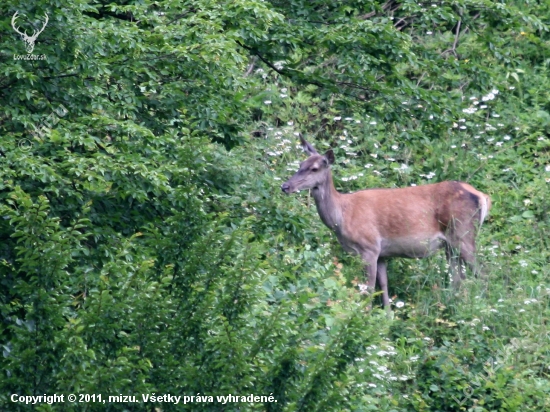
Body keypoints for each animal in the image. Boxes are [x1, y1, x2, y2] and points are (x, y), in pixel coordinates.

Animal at [282, 137, 494, 308]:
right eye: (300, 164)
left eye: (314, 168)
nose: (285, 186)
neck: (342, 216)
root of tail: (482, 196)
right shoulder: (382, 253)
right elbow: (383, 285)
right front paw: (387, 318)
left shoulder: (368, 247)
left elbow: (367, 288)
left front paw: (364, 316)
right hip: (450, 246)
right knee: (458, 278)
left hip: (463, 233)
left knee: (483, 274)